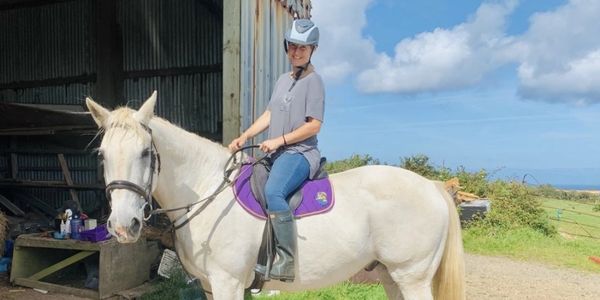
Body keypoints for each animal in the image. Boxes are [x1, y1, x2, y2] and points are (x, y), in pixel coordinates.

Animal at [85, 91, 464, 300]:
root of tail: (431, 187)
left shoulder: (227, 283)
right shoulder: (210, 285)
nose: (124, 226)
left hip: (411, 276)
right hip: (390, 276)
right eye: (102, 155)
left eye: (145, 153)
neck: (207, 190)